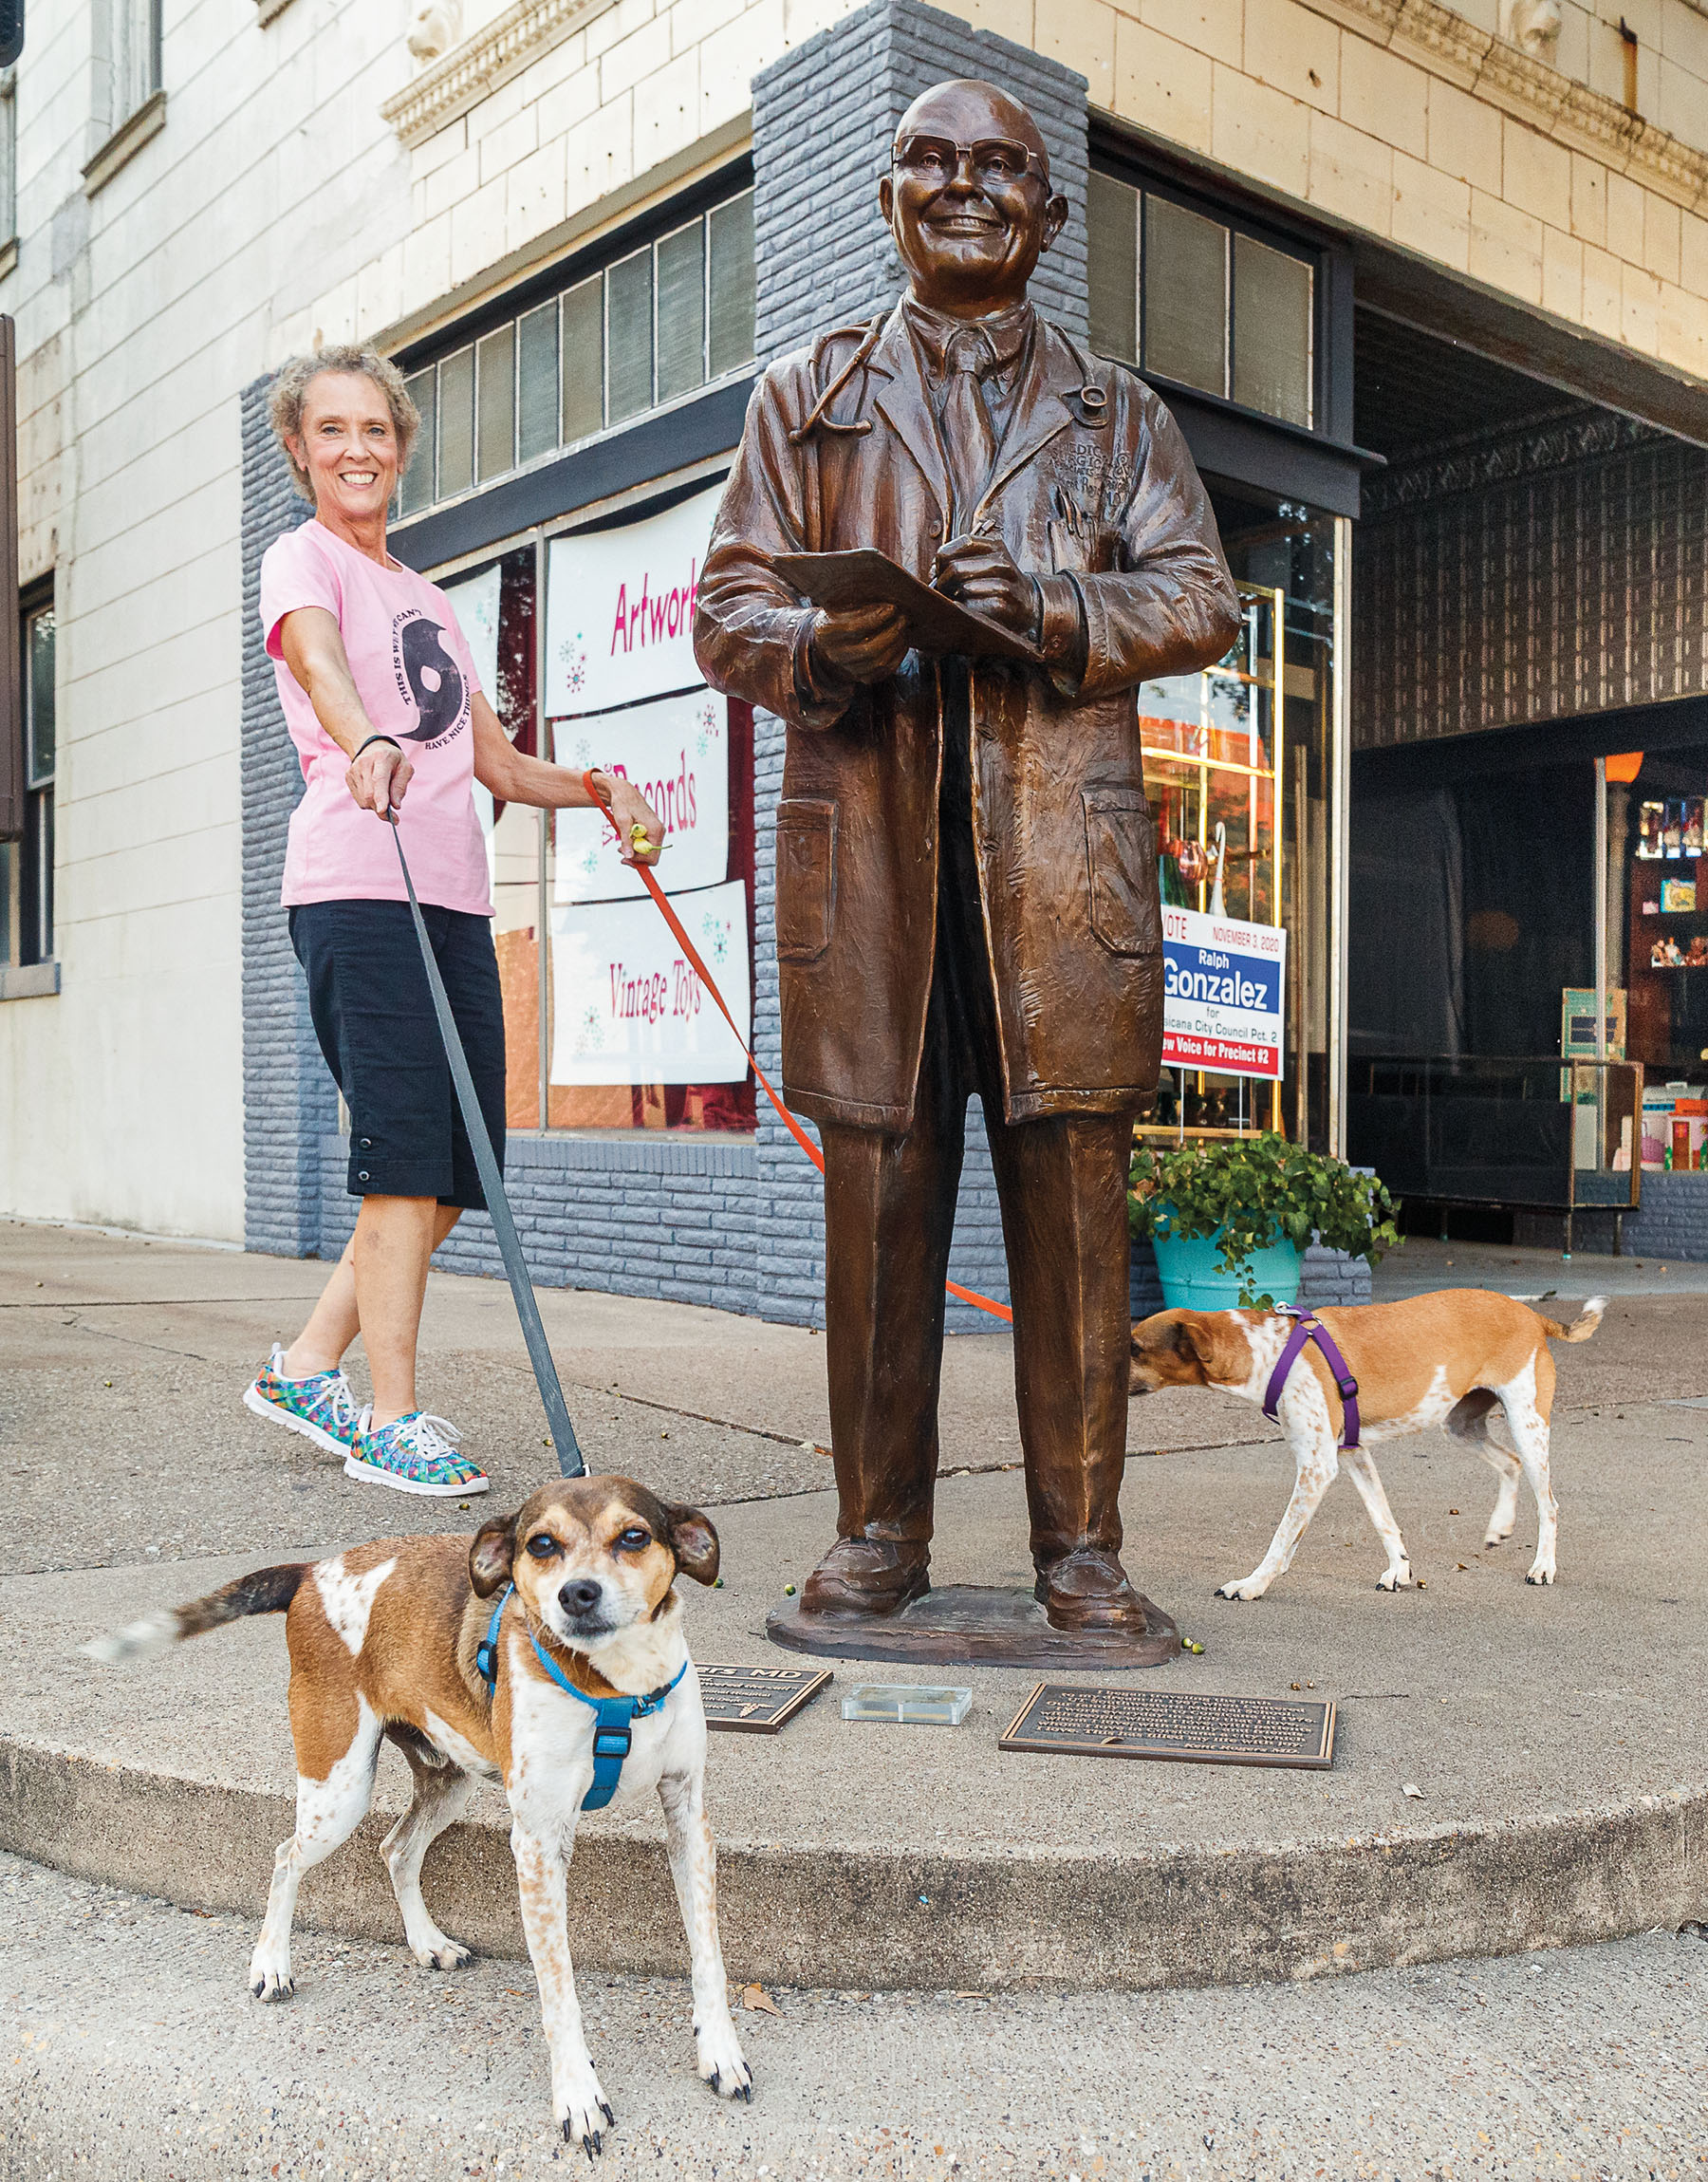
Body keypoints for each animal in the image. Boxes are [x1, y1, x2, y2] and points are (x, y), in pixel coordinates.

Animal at [86, 1475, 750, 2155]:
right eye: (541, 1544)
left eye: (634, 1536)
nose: (577, 1593)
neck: (619, 1682)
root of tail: (312, 1571)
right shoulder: (539, 1842)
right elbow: (558, 1988)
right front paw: (578, 2095)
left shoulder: (687, 1815)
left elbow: (708, 1955)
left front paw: (720, 2053)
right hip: (339, 1788)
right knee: (285, 1856)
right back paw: (271, 1964)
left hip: (448, 1778)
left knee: (396, 1848)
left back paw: (428, 1943)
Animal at [1125, 1282, 1614, 1596]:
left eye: (1135, 1348)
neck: (1269, 1349)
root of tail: (1531, 1314)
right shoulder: (1351, 1452)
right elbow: (1383, 1518)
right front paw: (1400, 1571)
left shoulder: (1317, 1467)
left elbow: (1283, 1537)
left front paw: (1253, 1584)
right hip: (1461, 1426)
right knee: (1509, 1464)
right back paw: (1499, 1527)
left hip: (1528, 1424)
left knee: (1549, 1503)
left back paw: (1543, 1566)